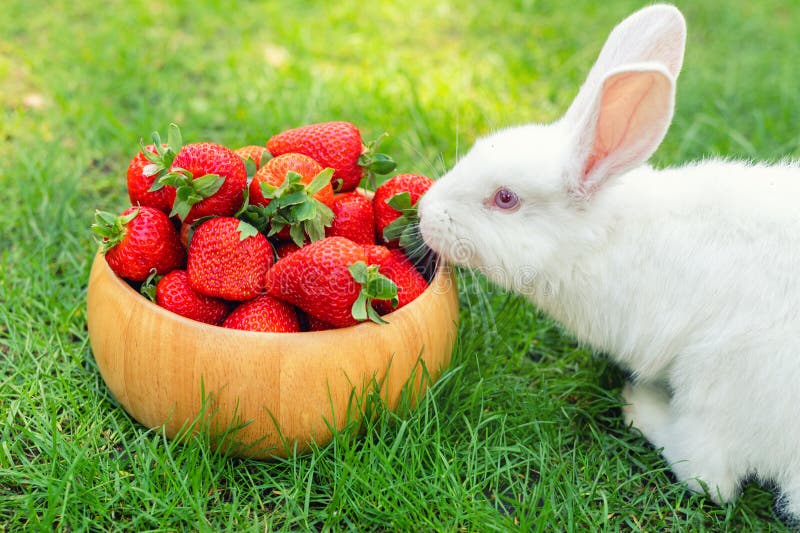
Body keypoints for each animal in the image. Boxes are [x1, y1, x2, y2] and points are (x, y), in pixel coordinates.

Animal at [416, 4, 800, 516]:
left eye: (505, 198)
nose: (424, 213)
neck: (605, 241)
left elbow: (710, 476)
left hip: (719, 378)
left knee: (706, 472)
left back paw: (641, 407)